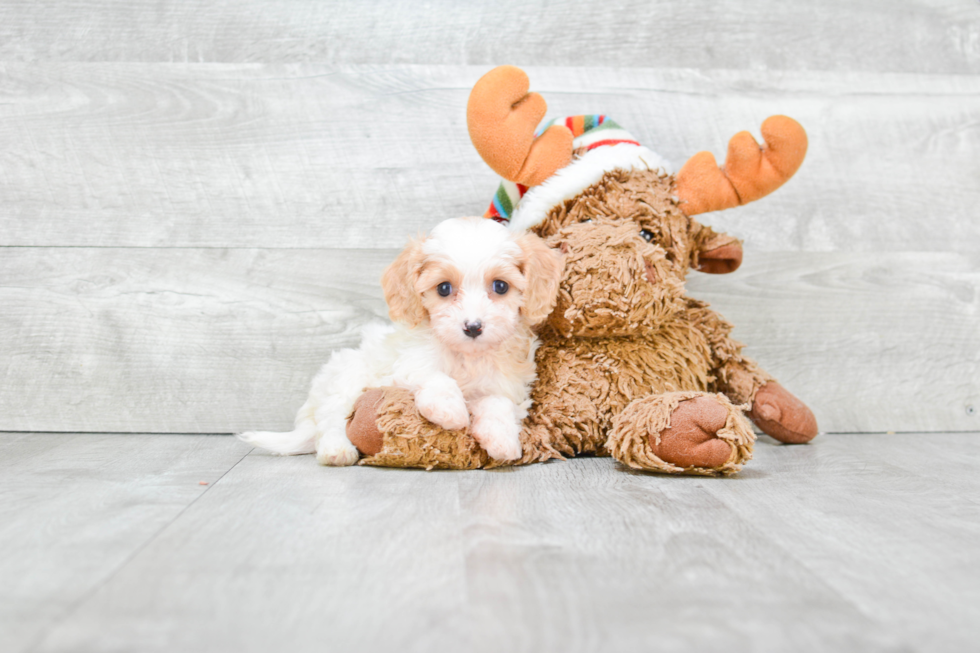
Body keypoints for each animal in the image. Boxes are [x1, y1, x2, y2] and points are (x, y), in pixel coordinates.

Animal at [235, 218, 568, 464]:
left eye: (500, 286)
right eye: (444, 288)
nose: (473, 327)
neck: (466, 356)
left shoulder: (506, 385)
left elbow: (498, 404)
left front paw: (502, 440)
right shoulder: (404, 367)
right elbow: (434, 378)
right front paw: (451, 410)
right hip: (346, 377)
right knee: (330, 420)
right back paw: (336, 450)